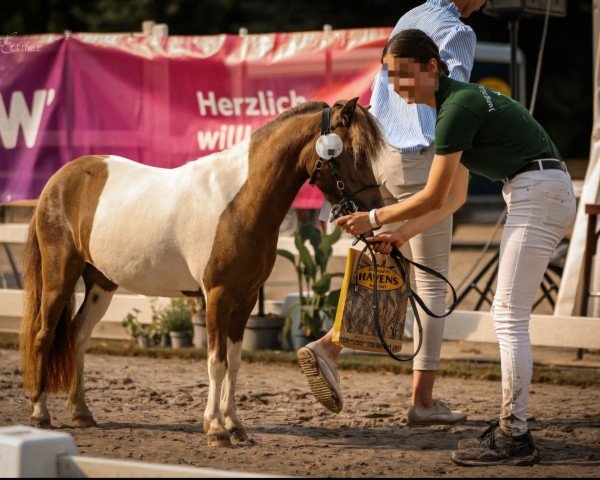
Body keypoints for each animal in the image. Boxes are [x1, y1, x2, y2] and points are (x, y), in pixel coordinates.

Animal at [19, 96, 384, 446]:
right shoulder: (218, 296)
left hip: (101, 284)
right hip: (59, 277)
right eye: (353, 152)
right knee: (44, 335)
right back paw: (40, 412)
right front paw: (216, 429)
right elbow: (216, 361)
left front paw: (235, 426)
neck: (239, 202)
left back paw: (81, 412)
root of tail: (58, 180)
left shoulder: (246, 299)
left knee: (78, 335)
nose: (372, 210)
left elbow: (234, 361)